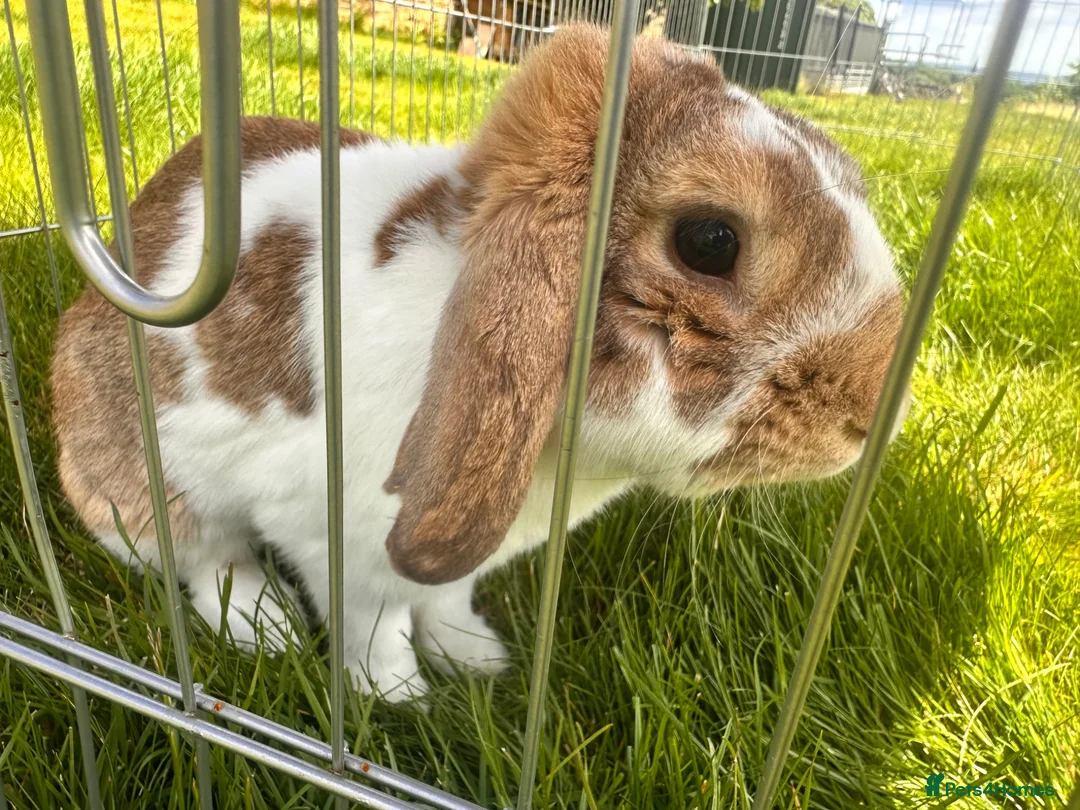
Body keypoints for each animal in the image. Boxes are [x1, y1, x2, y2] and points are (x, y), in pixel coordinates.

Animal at [50, 25, 909, 703]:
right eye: (709, 241)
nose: (870, 414)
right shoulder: (337, 541)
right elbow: (373, 626)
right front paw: (399, 697)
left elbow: (445, 601)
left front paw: (476, 659)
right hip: (142, 491)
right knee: (205, 561)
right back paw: (265, 628)